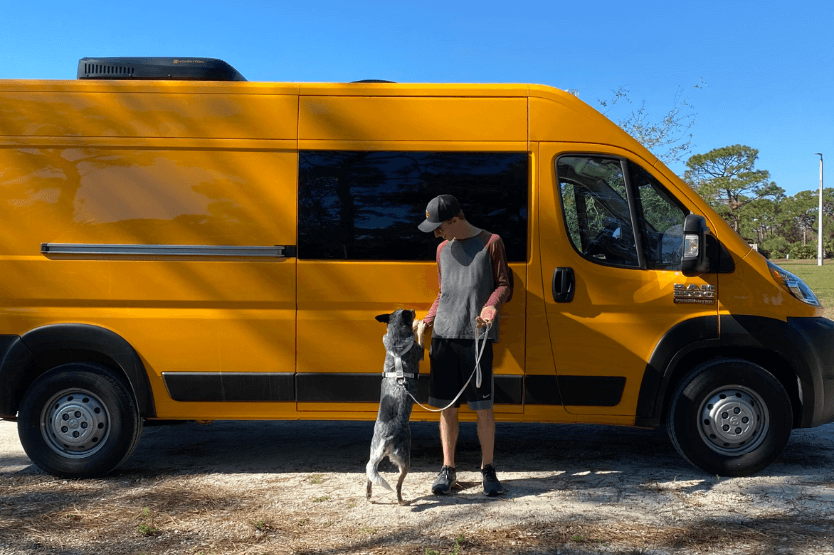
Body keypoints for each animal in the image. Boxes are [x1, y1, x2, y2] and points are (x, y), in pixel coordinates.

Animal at [364, 310, 422, 506]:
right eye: (409, 312)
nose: (414, 311)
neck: (396, 347)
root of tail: (385, 439)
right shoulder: (418, 350)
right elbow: (419, 338)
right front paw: (419, 326)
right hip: (405, 460)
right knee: (398, 485)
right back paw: (402, 501)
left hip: (374, 454)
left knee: (370, 475)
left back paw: (369, 496)